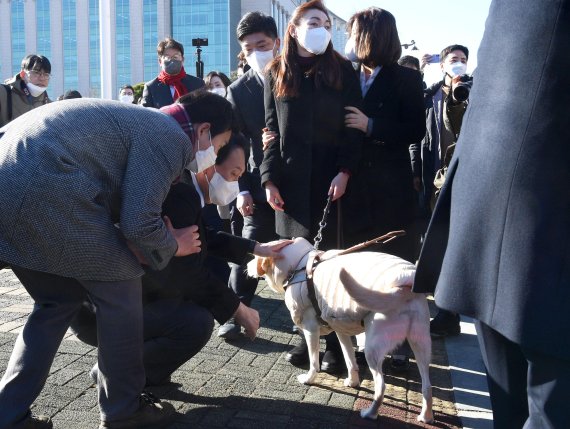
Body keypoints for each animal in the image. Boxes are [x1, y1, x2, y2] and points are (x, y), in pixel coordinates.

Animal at [247, 237, 430, 422]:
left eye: (256, 257)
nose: (246, 264)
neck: (299, 265)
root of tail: (402, 289)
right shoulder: (341, 330)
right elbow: (350, 360)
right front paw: (353, 382)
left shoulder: (311, 330)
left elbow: (314, 362)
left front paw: (309, 378)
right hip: (421, 345)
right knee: (426, 386)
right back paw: (425, 417)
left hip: (373, 349)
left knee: (381, 387)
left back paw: (370, 413)